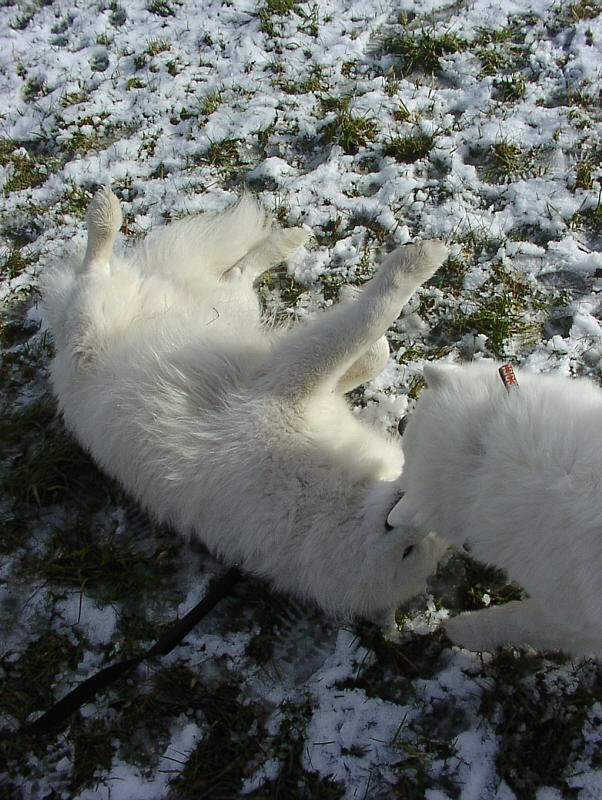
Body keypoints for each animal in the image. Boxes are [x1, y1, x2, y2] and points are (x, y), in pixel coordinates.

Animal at [42, 186, 448, 624]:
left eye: (410, 551)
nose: (412, 512)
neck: (326, 502)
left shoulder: (287, 376)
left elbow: (362, 332)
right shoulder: (291, 376)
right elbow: (371, 329)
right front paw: (422, 259)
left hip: (132, 317)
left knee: (209, 272)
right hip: (151, 316)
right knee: (100, 266)